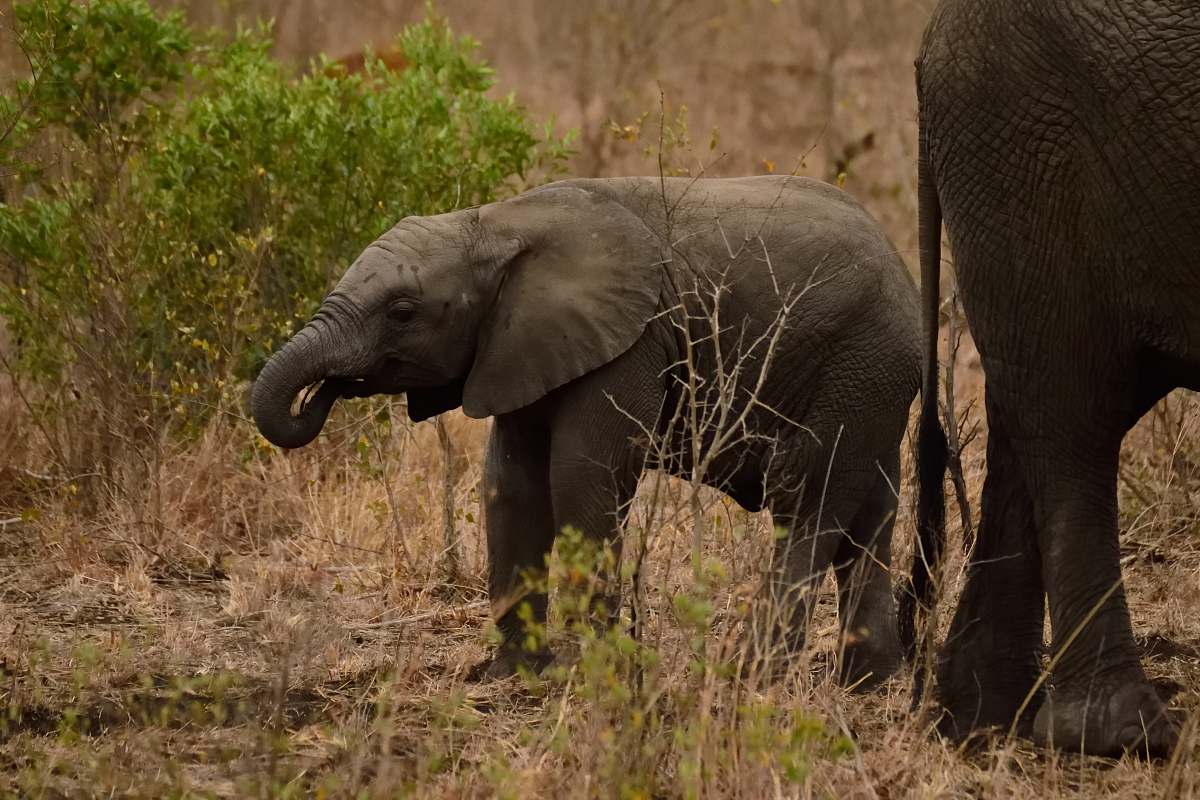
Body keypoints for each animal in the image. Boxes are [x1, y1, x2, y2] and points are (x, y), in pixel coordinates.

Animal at [255, 176, 926, 690]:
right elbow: (512, 485)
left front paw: (588, 673)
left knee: (807, 497)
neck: (497, 225)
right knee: (872, 511)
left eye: (402, 312)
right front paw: (513, 676)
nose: (324, 391)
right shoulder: (520, 345)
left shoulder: (628, 345)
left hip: (860, 362)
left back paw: (749, 677)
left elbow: (581, 477)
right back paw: (868, 683)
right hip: (872, 379)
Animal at [912, 0, 1195, 758]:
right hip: (1031, 152)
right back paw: (1118, 736)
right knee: (1073, 416)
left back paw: (984, 716)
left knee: (1034, 409)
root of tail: (933, 34)